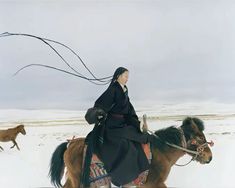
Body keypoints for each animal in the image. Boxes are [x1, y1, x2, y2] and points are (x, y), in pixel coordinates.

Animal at [49, 117, 213, 187]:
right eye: (199, 137)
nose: (209, 157)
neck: (161, 152)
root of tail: (70, 143)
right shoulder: (154, 183)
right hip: (77, 179)